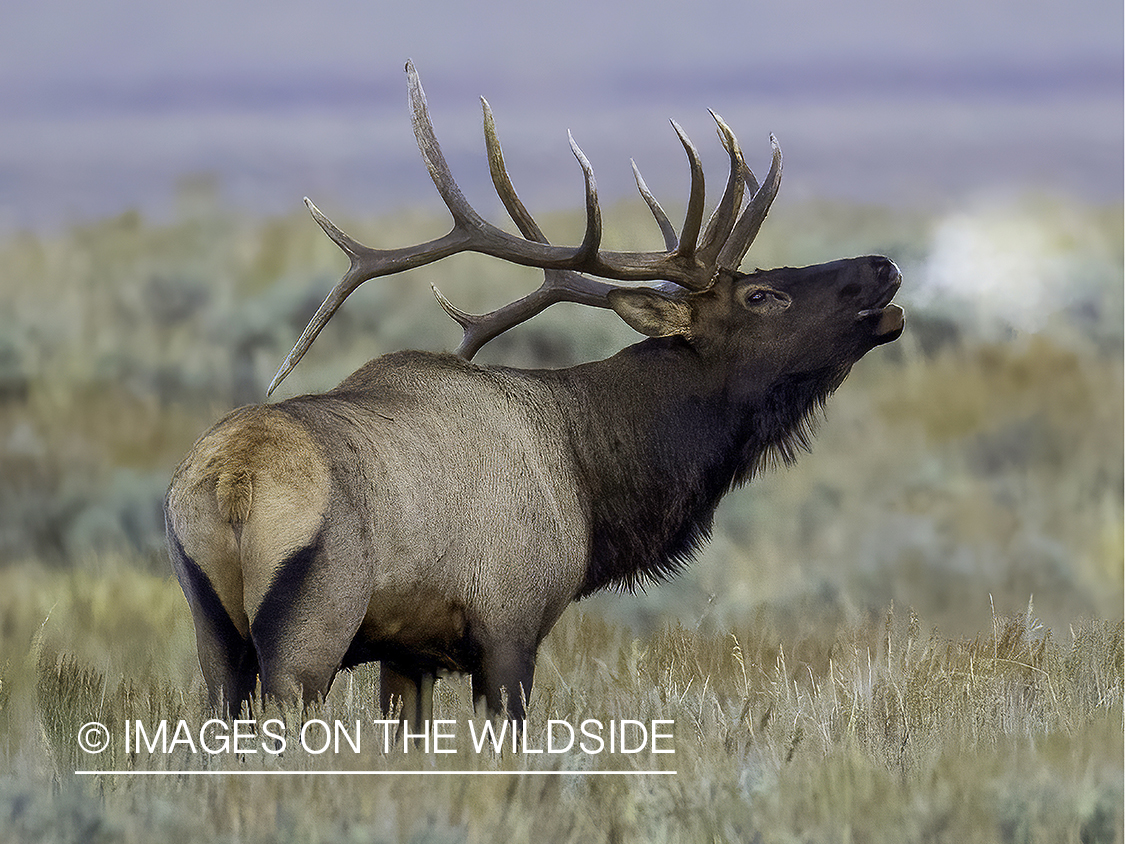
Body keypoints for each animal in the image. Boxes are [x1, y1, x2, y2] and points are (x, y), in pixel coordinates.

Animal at [164, 64, 904, 729]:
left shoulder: (408, 651)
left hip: (213, 637)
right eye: (762, 295)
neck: (592, 482)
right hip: (310, 630)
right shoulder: (509, 620)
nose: (884, 266)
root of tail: (232, 483)